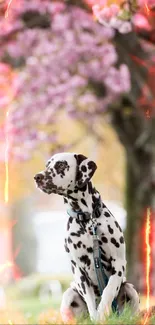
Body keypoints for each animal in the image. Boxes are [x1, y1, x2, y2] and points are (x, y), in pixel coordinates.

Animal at [34, 153, 140, 322]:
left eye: (61, 165)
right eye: (47, 165)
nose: (37, 177)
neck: (87, 219)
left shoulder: (118, 264)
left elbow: (109, 290)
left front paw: (103, 312)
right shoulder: (79, 271)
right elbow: (91, 303)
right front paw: (97, 317)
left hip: (131, 289)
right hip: (69, 295)